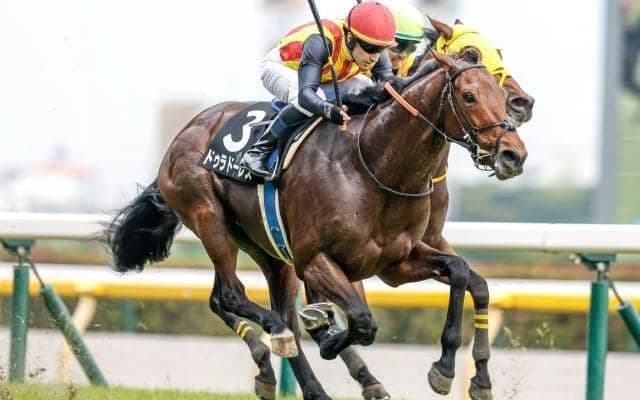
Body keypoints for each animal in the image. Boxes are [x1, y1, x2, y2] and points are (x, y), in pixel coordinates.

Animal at [105, 47, 527, 400]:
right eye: (469, 96)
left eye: (499, 94)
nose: (513, 154)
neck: (373, 165)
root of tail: (185, 131)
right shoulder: (315, 260)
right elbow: (362, 321)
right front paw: (329, 338)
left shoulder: (396, 262)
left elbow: (463, 273)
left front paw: (452, 371)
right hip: (209, 218)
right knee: (237, 298)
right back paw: (282, 341)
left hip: (266, 246)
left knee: (252, 303)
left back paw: (305, 381)